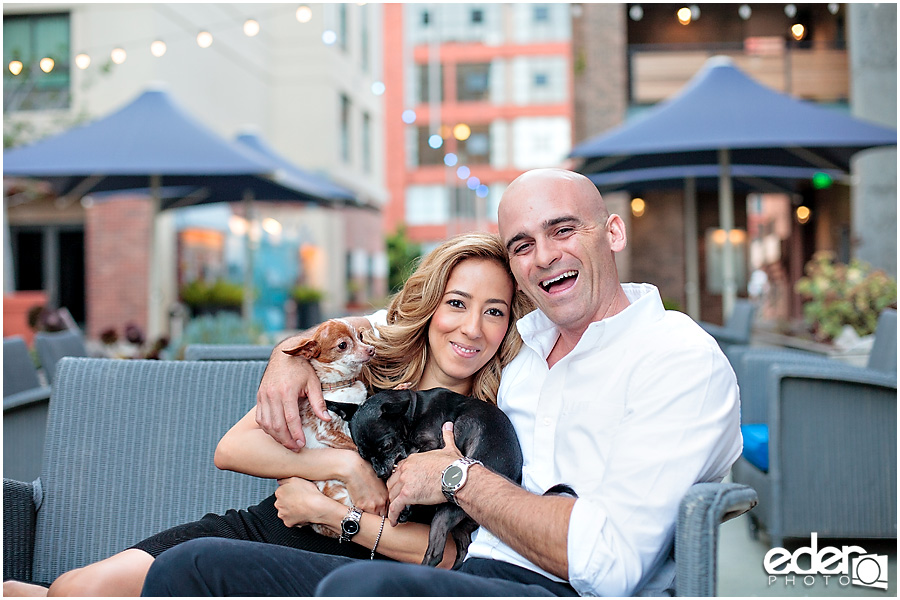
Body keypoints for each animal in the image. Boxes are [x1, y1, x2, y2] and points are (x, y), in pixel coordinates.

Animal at [284, 322, 376, 536]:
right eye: (343, 345)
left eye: (360, 336)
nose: (371, 349)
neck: (341, 385)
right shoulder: (327, 433)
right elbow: (355, 446)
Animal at [350, 390, 524, 568]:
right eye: (364, 457)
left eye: (386, 446)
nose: (381, 473)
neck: (415, 410)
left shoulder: (432, 444)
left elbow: (411, 453)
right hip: (459, 525)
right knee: (463, 549)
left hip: (446, 511)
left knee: (436, 554)